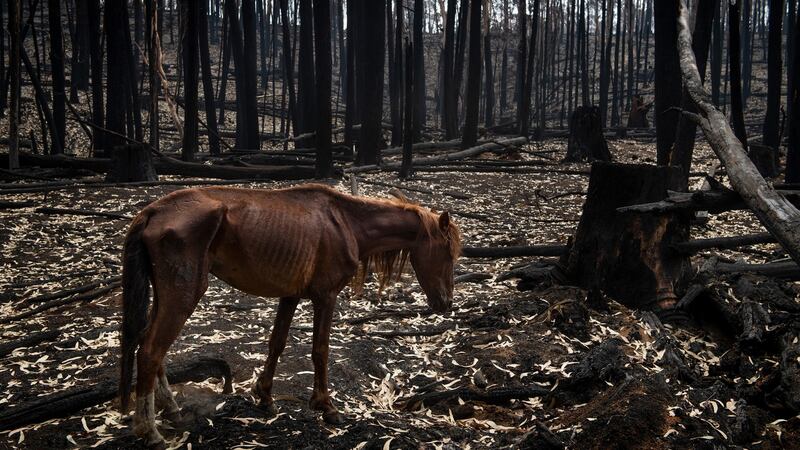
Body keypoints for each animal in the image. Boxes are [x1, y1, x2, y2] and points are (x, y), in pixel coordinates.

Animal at [119, 183, 461, 446]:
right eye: (447, 252)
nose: (446, 303)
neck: (345, 222)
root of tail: (153, 211)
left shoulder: (290, 295)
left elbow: (277, 344)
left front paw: (265, 396)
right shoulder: (325, 296)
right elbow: (320, 350)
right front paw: (325, 406)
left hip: (167, 295)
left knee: (151, 346)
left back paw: (172, 410)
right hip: (184, 294)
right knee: (150, 350)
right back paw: (149, 430)